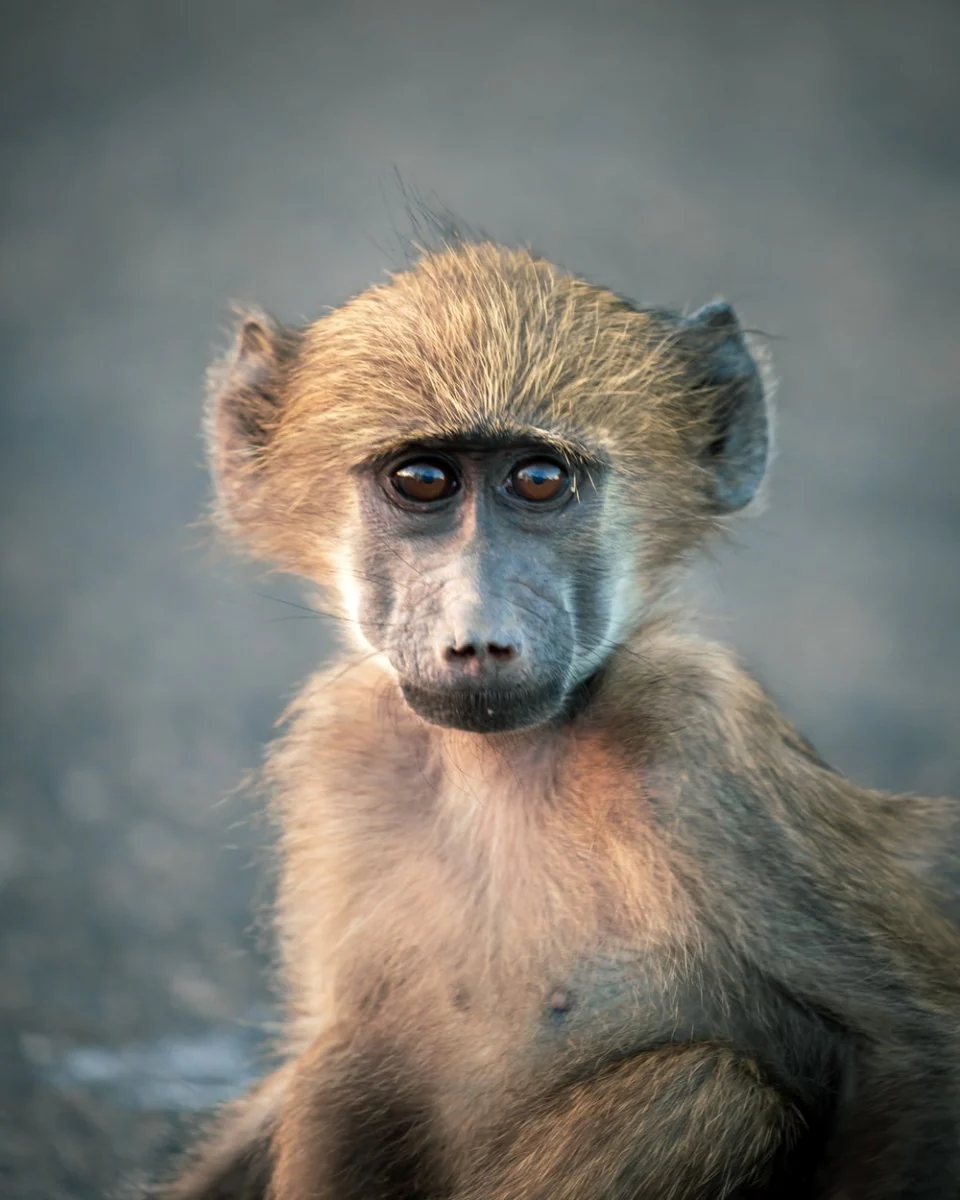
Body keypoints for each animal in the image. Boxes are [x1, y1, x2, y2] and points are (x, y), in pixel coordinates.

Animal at [160, 236, 960, 1200]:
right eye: (422, 481)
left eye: (538, 481)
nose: (478, 640)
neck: (496, 765)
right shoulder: (339, 747)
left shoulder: (700, 737)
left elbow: (915, 1054)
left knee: (701, 1088)